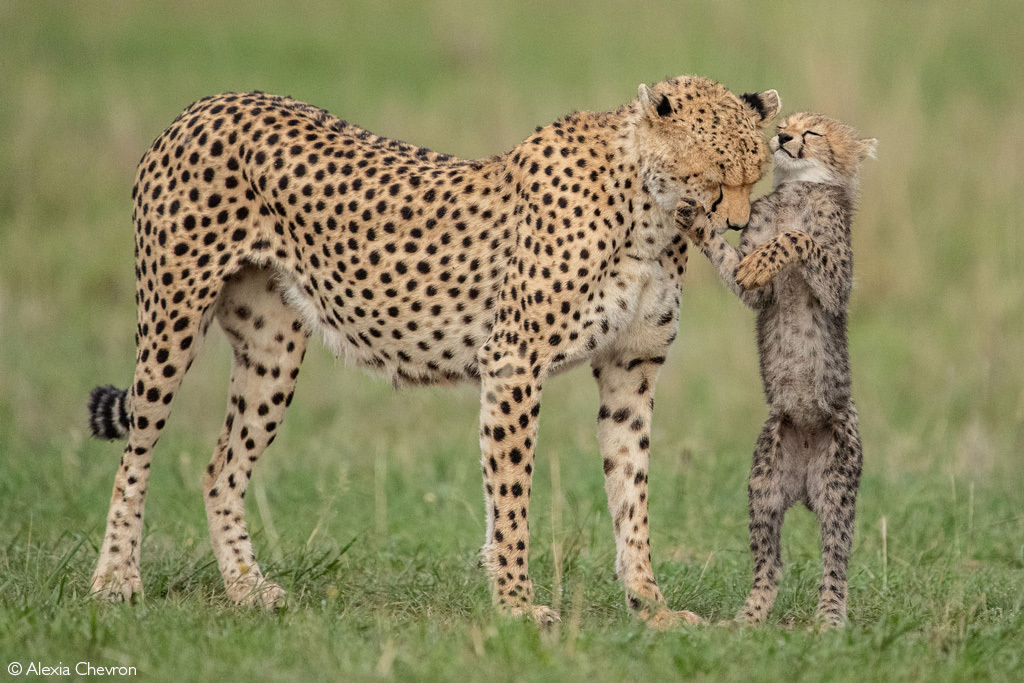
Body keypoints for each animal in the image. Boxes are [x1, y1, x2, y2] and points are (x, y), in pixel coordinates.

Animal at [90, 74, 774, 626]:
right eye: (715, 175)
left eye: (757, 174)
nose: (739, 225)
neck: (648, 209)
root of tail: (208, 102)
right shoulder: (514, 363)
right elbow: (512, 498)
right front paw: (517, 606)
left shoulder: (630, 371)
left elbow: (631, 496)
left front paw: (650, 606)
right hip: (172, 319)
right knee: (137, 451)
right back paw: (115, 581)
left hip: (272, 348)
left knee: (220, 470)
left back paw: (247, 589)